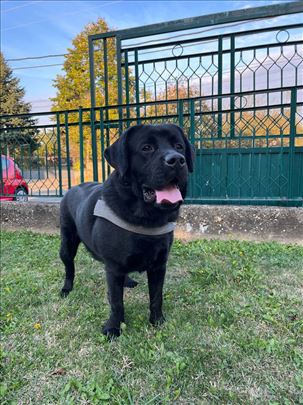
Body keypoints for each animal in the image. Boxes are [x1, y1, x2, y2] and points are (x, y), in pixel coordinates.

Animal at [59, 124, 195, 338]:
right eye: (146, 148)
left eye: (179, 146)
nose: (177, 160)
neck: (145, 217)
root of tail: (72, 188)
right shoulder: (113, 266)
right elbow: (116, 302)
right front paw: (113, 327)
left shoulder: (159, 265)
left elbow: (156, 297)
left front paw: (157, 321)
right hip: (67, 244)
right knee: (69, 267)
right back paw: (67, 288)